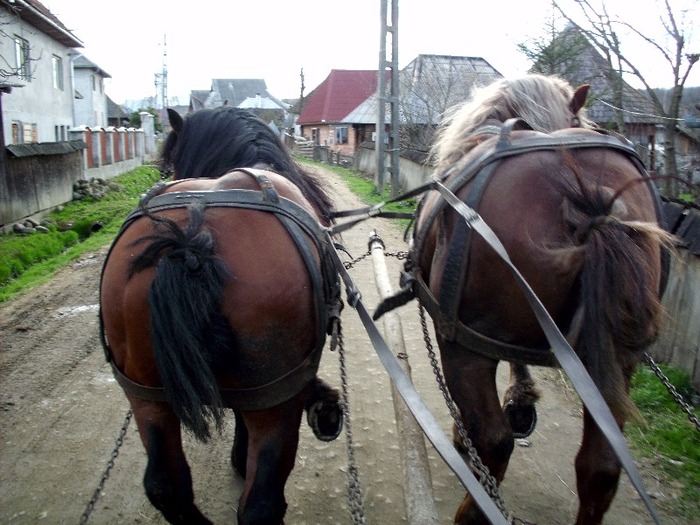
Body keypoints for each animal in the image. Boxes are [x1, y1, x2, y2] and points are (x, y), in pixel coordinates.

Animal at [98, 104, 342, 520]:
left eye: (167, 164)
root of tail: (192, 240)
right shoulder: (261, 394)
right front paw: (240, 458)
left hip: (146, 396)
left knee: (165, 485)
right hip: (275, 402)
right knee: (260, 503)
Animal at [410, 75, 672, 520]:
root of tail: (588, 200)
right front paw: (522, 401)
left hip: (464, 346)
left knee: (495, 440)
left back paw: (473, 505)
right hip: (618, 360)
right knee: (600, 466)